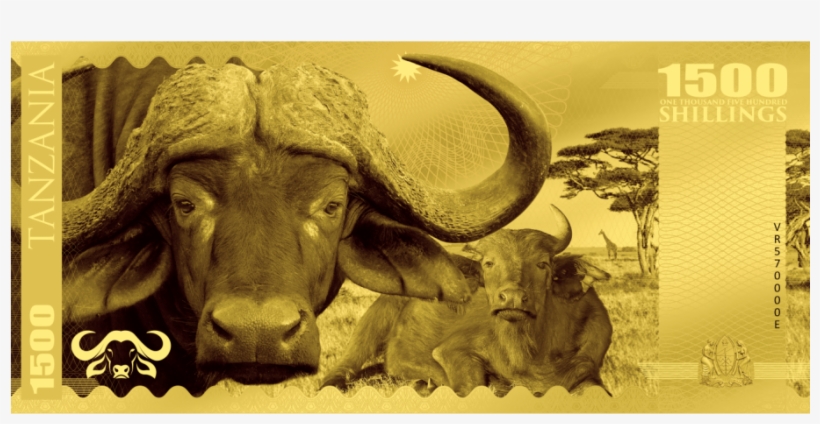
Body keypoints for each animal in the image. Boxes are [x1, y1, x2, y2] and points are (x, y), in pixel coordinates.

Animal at [323, 206, 613, 396]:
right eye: (488, 263)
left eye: (543, 264)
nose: (512, 297)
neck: (530, 351)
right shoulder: (452, 351)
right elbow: (474, 384)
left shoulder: (588, 370)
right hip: (369, 330)